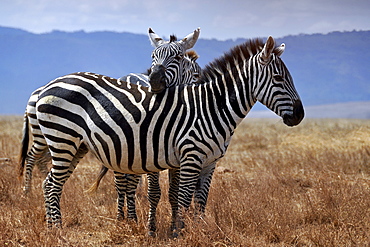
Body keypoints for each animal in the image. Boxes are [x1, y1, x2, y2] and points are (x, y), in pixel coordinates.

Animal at [28, 35, 302, 234]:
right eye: (279, 78)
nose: (300, 115)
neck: (211, 107)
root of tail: (47, 86)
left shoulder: (209, 162)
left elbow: (200, 199)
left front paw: (198, 230)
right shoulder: (190, 157)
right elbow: (182, 198)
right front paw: (179, 233)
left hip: (75, 145)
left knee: (49, 182)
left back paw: (52, 227)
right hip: (63, 140)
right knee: (52, 184)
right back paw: (57, 230)